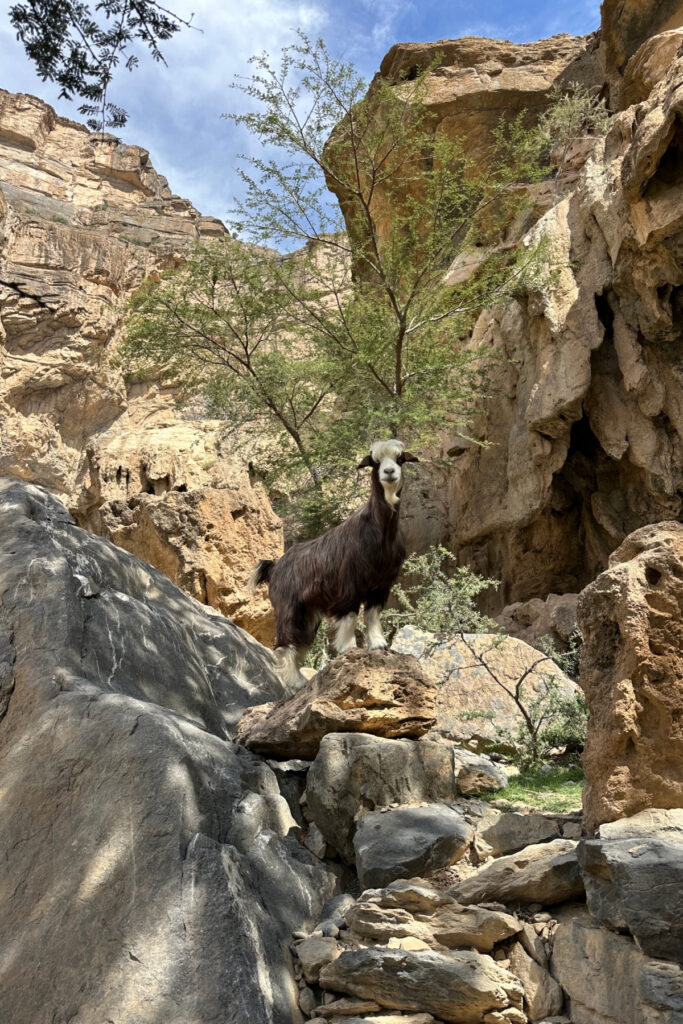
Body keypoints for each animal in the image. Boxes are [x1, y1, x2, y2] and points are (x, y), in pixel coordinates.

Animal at [250, 439, 419, 689]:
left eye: (400, 459)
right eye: (375, 462)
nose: (389, 472)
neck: (379, 531)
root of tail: (275, 567)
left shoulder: (381, 585)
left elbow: (372, 614)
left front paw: (378, 644)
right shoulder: (348, 583)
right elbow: (349, 615)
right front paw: (348, 648)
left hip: (308, 614)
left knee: (300, 641)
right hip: (288, 607)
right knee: (285, 642)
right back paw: (296, 682)